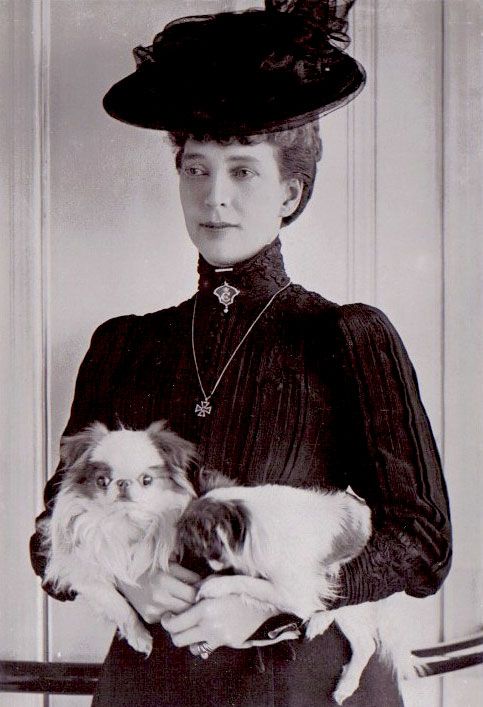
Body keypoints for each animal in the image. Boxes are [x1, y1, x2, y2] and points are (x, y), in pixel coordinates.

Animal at [37, 420, 196, 660]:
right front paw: (140, 637)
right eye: (102, 481)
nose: (122, 483)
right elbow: (118, 605)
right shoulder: (82, 573)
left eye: (147, 480)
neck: (123, 521)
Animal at [178, 472, 428, 704]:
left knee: (365, 643)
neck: (246, 516)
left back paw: (343, 680)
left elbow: (249, 583)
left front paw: (214, 585)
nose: (207, 564)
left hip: (352, 603)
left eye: (200, 548)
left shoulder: (292, 593)